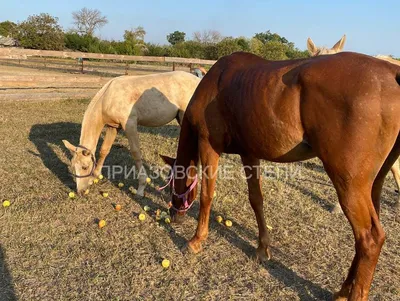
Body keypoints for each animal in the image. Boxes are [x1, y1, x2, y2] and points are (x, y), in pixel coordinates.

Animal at [63, 71, 202, 196]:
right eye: (73, 165)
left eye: (85, 167)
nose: (80, 192)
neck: (108, 97)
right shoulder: (113, 127)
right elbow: (104, 150)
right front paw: (94, 177)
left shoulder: (129, 125)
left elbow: (136, 153)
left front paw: (141, 188)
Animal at [161, 52, 400, 298]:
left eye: (171, 185)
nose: (173, 214)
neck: (214, 84)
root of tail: (391, 72)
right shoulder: (249, 154)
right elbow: (256, 200)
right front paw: (262, 248)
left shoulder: (209, 145)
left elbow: (207, 196)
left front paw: (196, 240)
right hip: (373, 184)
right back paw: (343, 290)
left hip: (349, 186)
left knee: (369, 239)